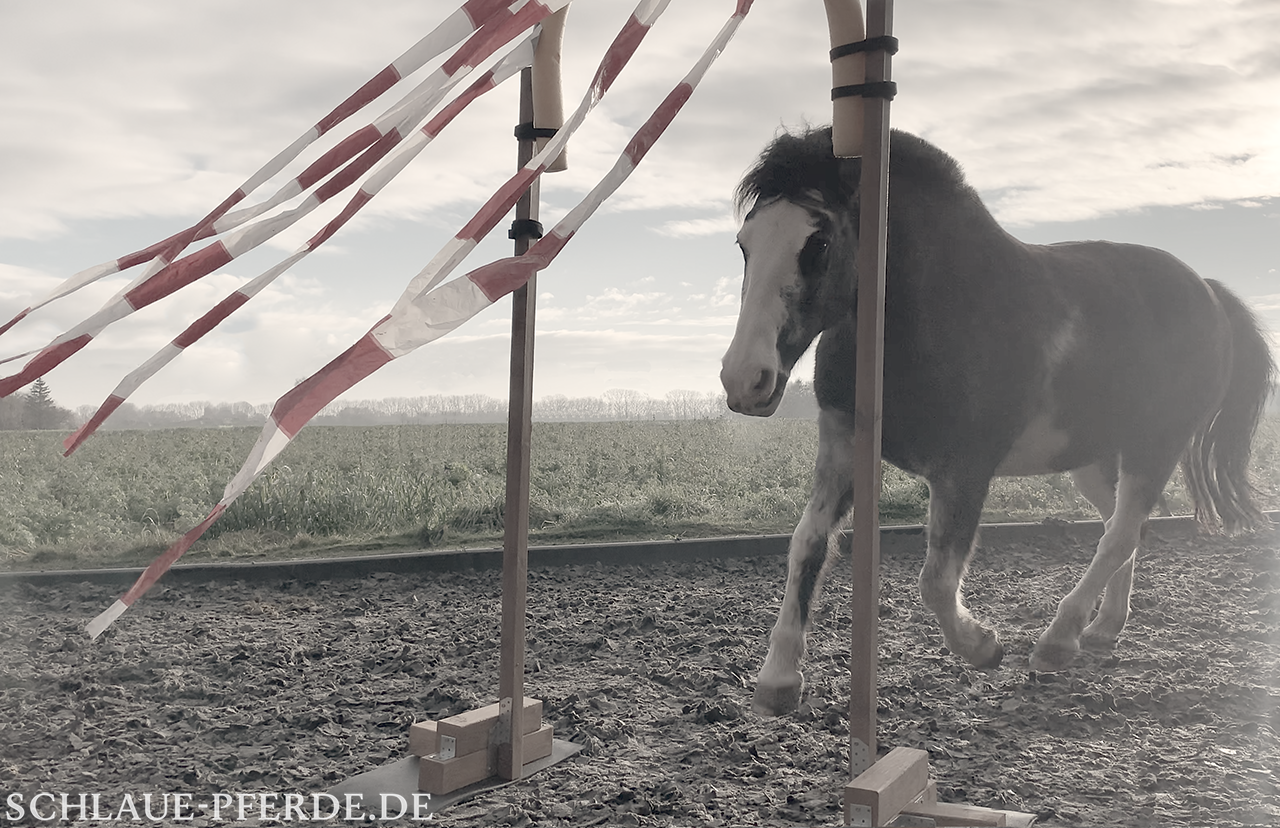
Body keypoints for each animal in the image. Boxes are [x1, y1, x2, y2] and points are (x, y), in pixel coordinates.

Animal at [720, 126, 1275, 716]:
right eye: (745, 243)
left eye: (818, 243)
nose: (744, 379)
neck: (933, 312)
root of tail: (1210, 293)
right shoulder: (844, 444)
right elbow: (807, 544)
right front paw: (778, 679)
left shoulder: (964, 470)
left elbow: (936, 581)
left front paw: (983, 646)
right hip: (1093, 458)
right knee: (1124, 529)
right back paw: (1103, 628)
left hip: (1156, 447)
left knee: (1120, 534)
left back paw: (1058, 641)